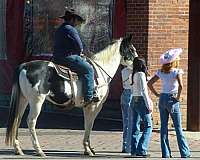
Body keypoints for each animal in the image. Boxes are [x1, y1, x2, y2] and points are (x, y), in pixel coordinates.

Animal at [5, 34, 138, 156]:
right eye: (132, 49)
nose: (139, 63)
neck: (101, 71)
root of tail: (24, 66)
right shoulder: (94, 106)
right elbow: (89, 124)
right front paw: (88, 149)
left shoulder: (87, 106)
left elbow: (87, 125)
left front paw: (89, 148)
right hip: (36, 101)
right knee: (31, 121)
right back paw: (39, 150)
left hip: (23, 99)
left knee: (17, 119)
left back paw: (18, 149)